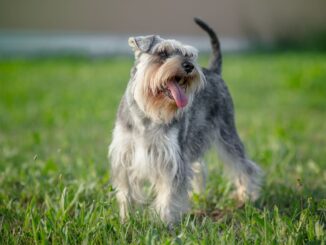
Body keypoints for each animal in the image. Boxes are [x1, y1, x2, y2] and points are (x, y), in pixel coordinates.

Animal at [108, 17, 262, 224]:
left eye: (188, 55)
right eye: (162, 53)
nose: (189, 66)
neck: (148, 114)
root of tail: (215, 71)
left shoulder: (171, 159)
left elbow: (168, 194)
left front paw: (162, 222)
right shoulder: (124, 157)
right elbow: (126, 193)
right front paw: (126, 220)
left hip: (227, 134)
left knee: (244, 165)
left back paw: (247, 197)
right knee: (199, 168)